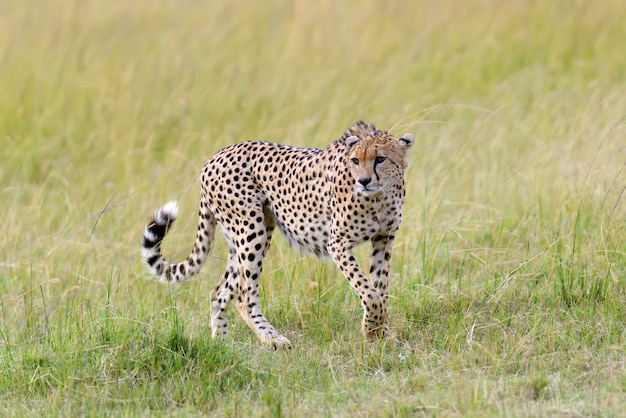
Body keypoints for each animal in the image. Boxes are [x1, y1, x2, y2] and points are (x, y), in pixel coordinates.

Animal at [143, 121, 414, 350]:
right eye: (355, 160)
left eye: (380, 158)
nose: (364, 181)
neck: (380, 196)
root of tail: (215, 157)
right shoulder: (338, 244)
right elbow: (368, 291)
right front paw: (371, 330)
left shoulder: (384, 239)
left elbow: (380, 288)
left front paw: (382, 333)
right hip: (251, 230)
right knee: (244, 295)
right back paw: (272, 339)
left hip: (247, 235)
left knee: (220, 291)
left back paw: (221, 345)